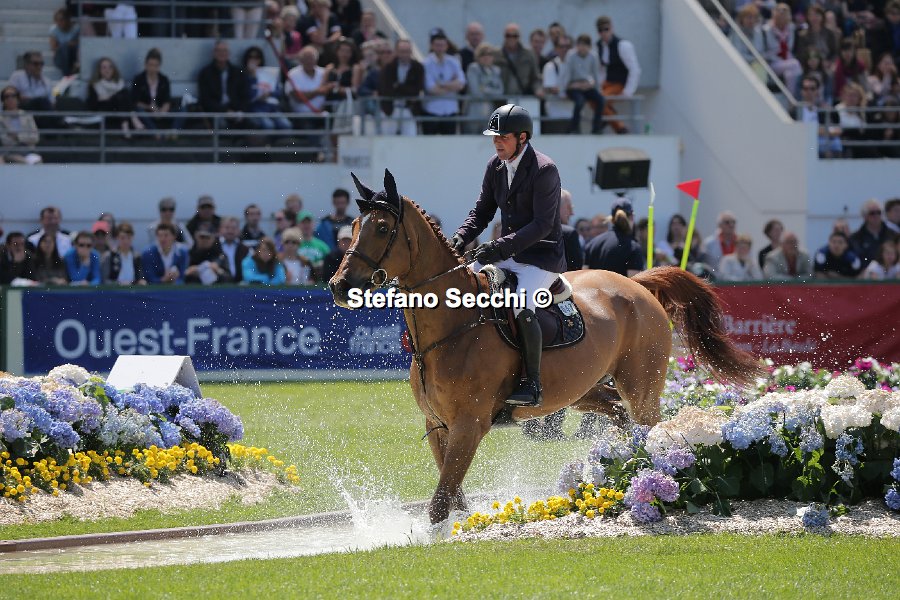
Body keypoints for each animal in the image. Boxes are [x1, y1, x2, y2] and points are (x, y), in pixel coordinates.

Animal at [329, 170, 761, 524]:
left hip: (641, 388)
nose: (339, 285)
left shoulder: (469, 425)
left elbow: (440, 502)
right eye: (353, 225)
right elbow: (453, 496)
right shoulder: (438, 425)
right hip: (584, 391)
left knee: (649, 428)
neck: (453, 326)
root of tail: (636, 284)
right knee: (619, 417)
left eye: (381, 228)